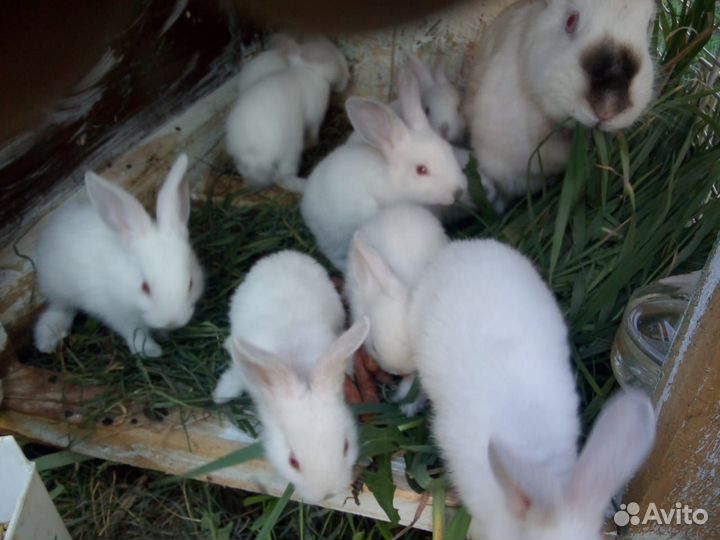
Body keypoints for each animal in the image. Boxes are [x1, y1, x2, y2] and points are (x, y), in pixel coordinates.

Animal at [34, 153, 204, 358]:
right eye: (144, 287)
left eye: (190, 283)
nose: (171, 321)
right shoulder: (119, 314)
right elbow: (134, 333)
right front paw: (150, 351)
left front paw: (163, 335)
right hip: (59, 286)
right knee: (60, 308)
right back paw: (48, 340)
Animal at [212, 250, 370, 504]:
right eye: (292, 461)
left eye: (345, 447)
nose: (326, 494)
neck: (300, 372)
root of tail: (283, 255)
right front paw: (220, 396)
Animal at [226, 36, 349, 190]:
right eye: (331, 57)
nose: (347, 72)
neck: (306, 70)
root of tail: (253, 152)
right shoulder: (315, 120)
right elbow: (314, 135)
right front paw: (311, 143)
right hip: (290, 150)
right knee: (282, 178)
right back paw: (304, 184)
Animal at [300, 66, 466, 271]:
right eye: (421, 170)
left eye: (449, 151)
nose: (458, 192)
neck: (395, 184)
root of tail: (306, 204)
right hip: (335, 235)